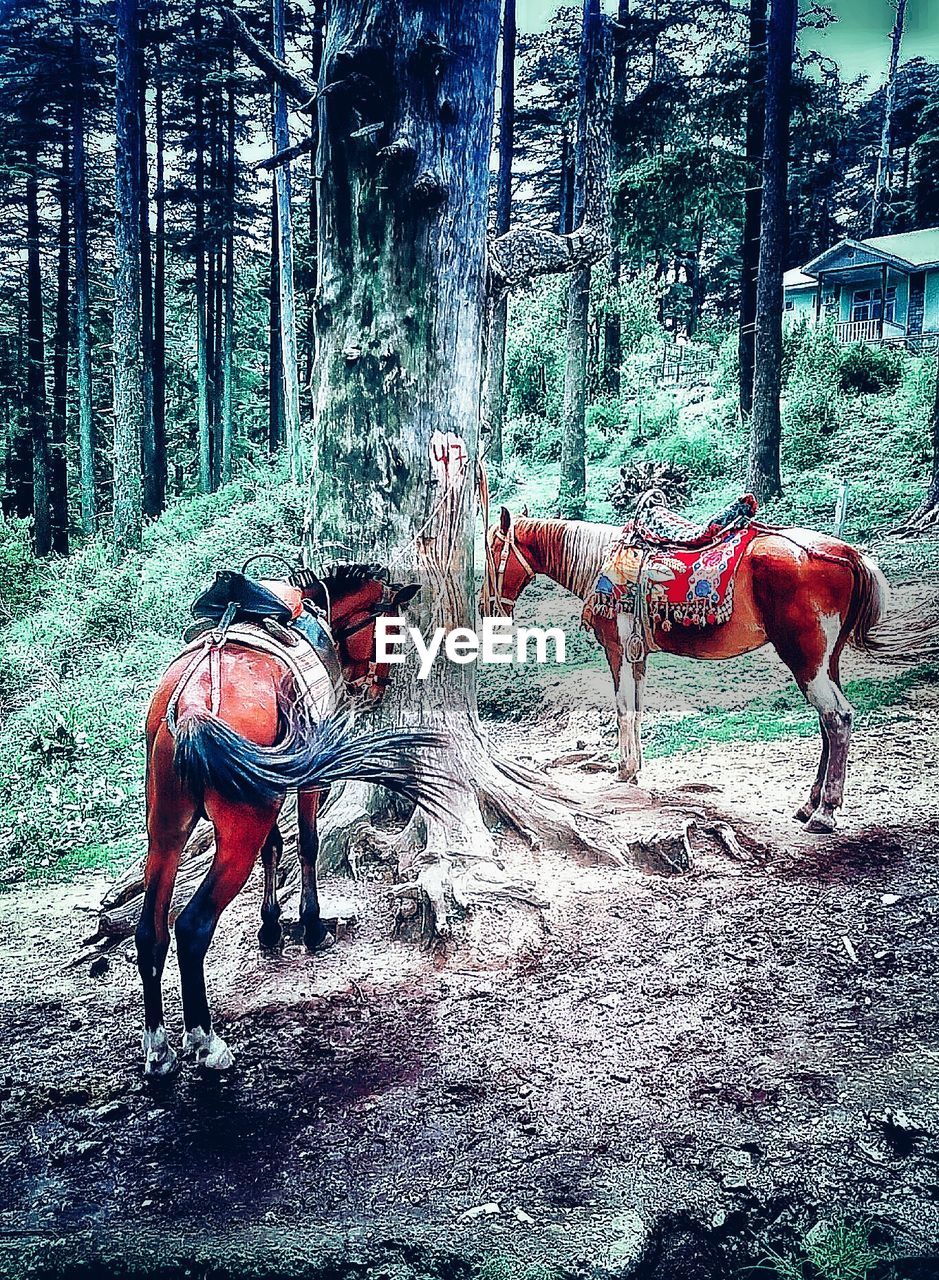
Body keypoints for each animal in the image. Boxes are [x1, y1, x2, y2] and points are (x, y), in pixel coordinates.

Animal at [136, 565, 440, 1075]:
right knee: (192, 927)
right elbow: (308, 844)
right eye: (391, 631)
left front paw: (271, 926)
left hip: (166, 830)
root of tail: (191, 705)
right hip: (236, 833)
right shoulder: (308, 779)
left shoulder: (270, 786)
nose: (377, 687)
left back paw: (159, 1047)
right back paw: (205, 1039)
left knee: (149, 933)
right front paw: (311, 926)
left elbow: (275, 847)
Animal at [481, 504, 900, 834]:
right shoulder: (638, 655)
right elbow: (635, 708)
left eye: (491, 550)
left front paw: (623, 770)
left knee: (836, 719)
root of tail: (846, 553)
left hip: (806, 659)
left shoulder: (618, 650)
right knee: (829, 723)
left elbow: (622, 708)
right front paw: (634, 769)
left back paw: (825, 813)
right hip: (826, 661)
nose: (487, 607)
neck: (600, 560)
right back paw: (810, 804)